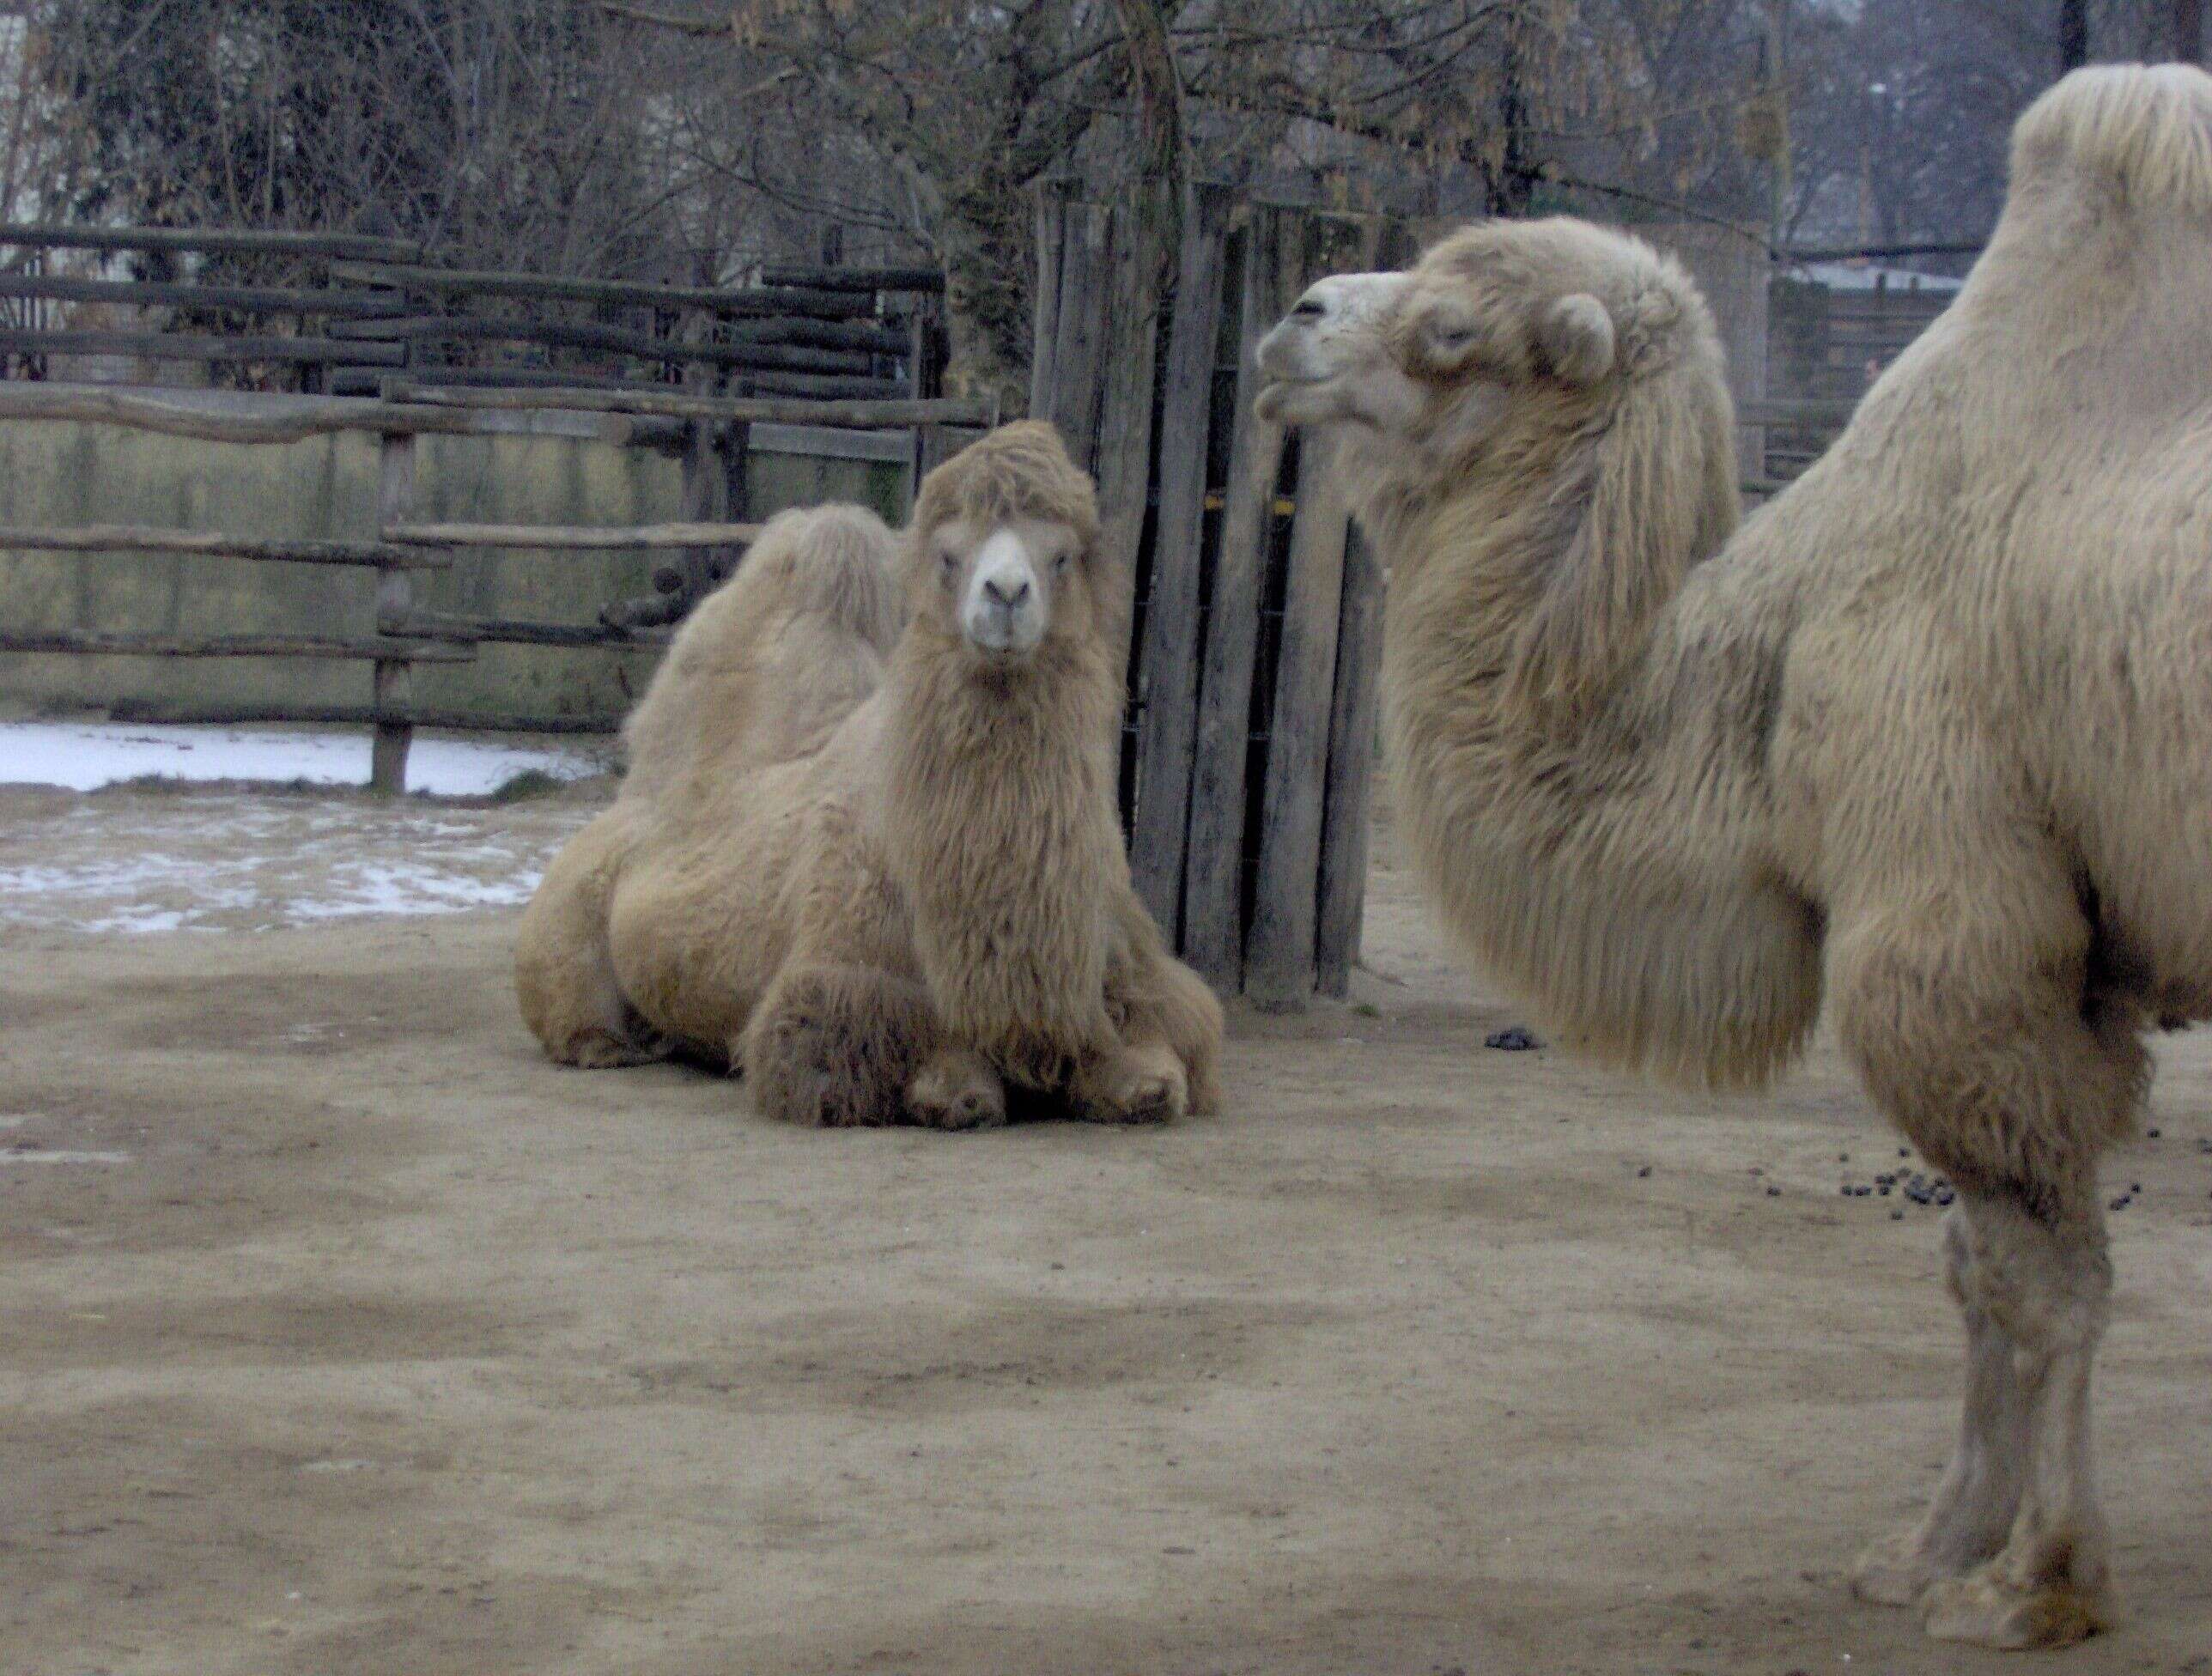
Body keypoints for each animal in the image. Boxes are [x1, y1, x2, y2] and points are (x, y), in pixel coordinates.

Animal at [513, 420, 1230, 1132]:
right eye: (947, 557)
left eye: (1062, 557)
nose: (1004, 595)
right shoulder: (837, 981)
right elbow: (882, 1036)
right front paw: (956, 1090)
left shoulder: (1120, 971)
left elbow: (1157, 1037)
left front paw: (1143, 1087)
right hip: (567, 924)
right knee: (576, 1007)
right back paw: (610, 1045)